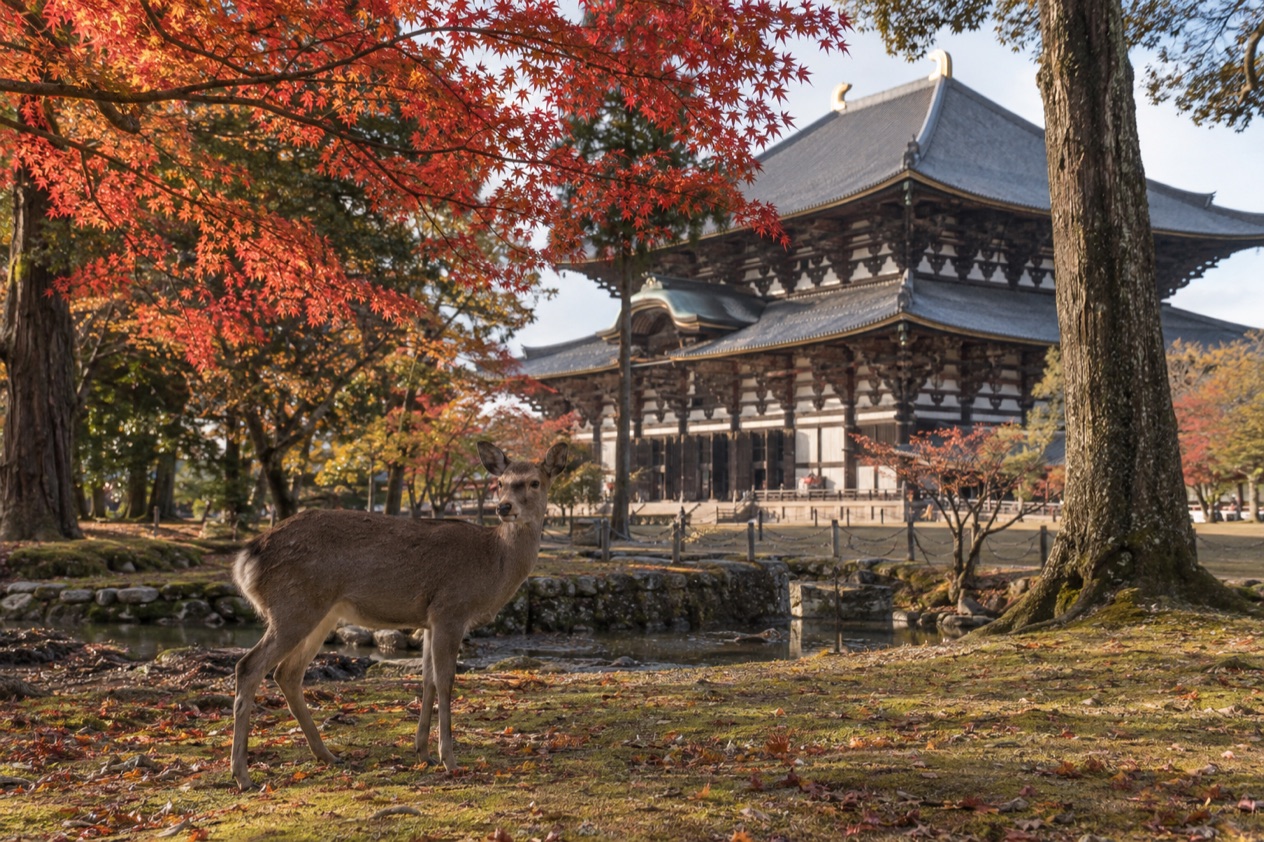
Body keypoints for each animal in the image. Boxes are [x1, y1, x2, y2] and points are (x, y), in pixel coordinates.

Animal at [230, 440, 568, 790]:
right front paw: (449, 759)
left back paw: (328, 756)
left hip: (320, 613)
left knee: (287, 673)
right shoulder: (451, 608)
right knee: (249, 666)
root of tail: (246, 557)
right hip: (294, 606)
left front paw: (423, 752)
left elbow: (427, 679)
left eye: (535, 482)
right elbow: (446, 680)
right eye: (500, 483)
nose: (504, 507)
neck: (495, 565)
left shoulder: (430, 619)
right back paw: (242, 774)